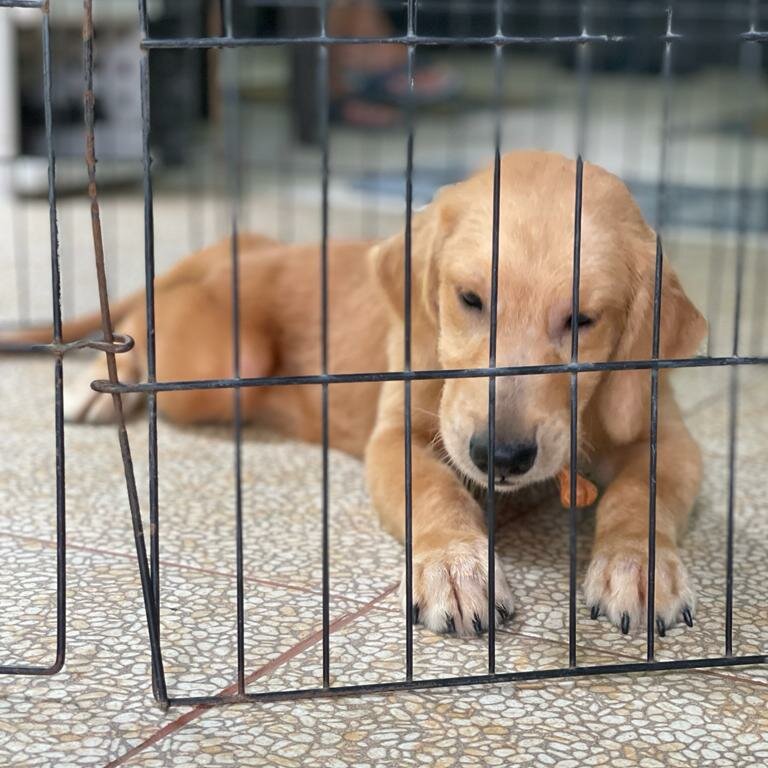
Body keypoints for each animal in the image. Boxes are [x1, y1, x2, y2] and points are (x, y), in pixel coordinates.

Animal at [6, 148, 704, 636]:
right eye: (470, 299)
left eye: (582, 321)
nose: (500, 458)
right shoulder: (397, 436)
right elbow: (437, 490)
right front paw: (456, 568)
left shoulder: (667, 434)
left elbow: (640, 496)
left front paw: (638, 565)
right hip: (215, 361)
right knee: (137, 327)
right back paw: (101, 390)